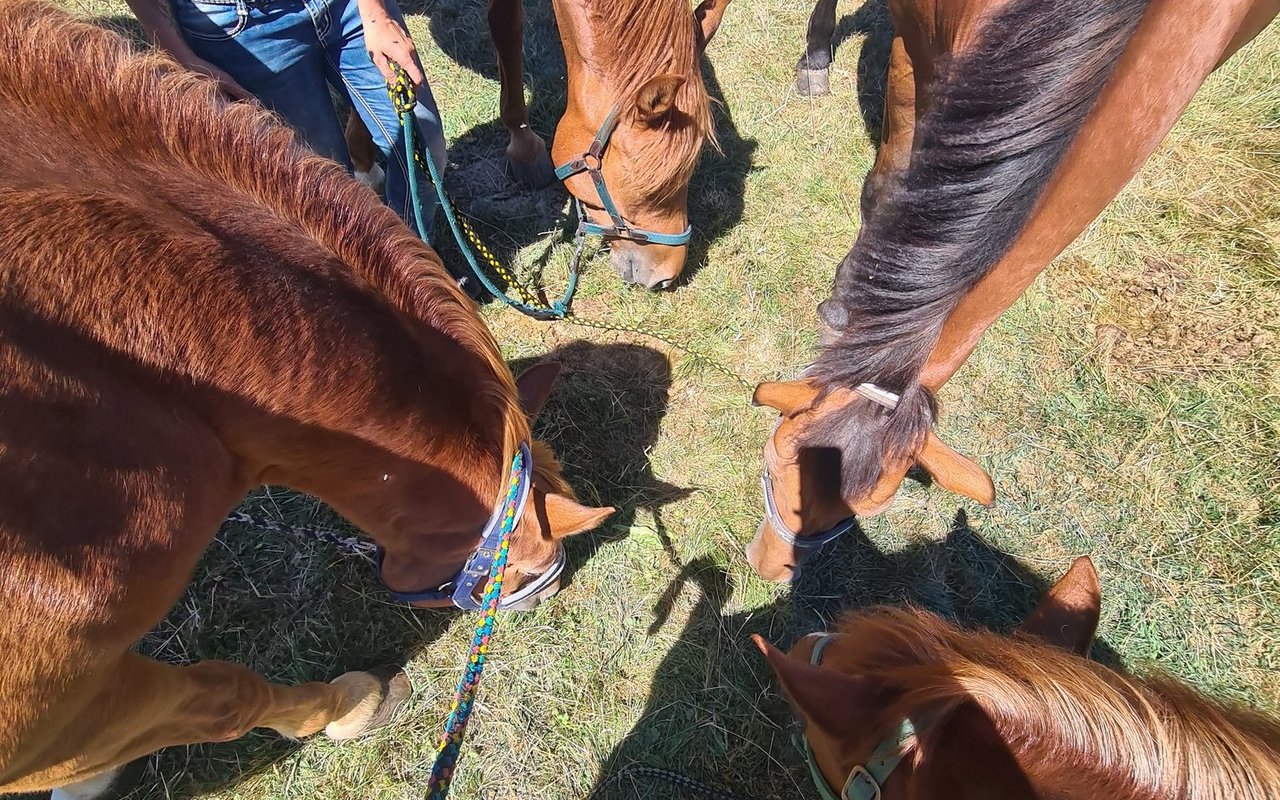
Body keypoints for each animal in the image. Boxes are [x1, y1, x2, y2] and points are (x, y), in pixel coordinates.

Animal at [747, 0, 1274, 576]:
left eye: (863, 512)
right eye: (774, 457)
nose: (768, 569)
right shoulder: (917, 49)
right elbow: (889, 182)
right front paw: (850, 296)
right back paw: (816, 60)